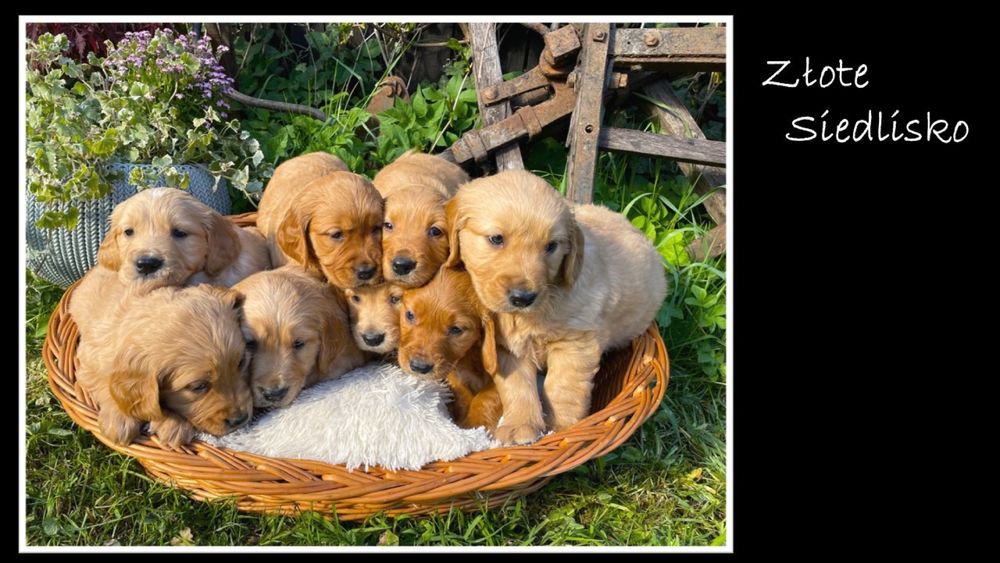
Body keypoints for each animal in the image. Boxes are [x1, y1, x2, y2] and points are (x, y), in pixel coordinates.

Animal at [74, 286, 254, 450]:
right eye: (198, 386)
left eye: (241, 362)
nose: (240, 419)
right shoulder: (88, 359)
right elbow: (104, 381)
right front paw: (120, 418)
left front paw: (173, 424)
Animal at [396, 266, 500, 430]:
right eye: (410, 315)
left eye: (456, 329)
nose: (419, 367)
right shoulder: (453, 370)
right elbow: (461, 390)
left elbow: (488, 396)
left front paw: (475, 424)